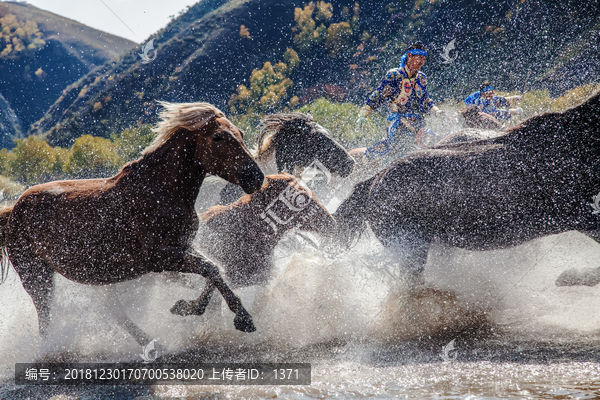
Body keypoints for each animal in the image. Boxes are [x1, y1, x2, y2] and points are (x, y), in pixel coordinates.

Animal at [0, 101, 264, 346]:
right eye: (218, 137)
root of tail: (13, 211)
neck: (160, 190)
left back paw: (151, 343)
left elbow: (214, 270)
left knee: (114, 313)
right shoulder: (159, 257)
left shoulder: (181, 248)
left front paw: (188, 307)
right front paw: (240, 318)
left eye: (241, 133)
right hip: (36, 276)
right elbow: (210, 269)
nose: (256, 177)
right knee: (46, 322)